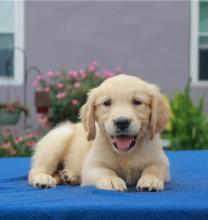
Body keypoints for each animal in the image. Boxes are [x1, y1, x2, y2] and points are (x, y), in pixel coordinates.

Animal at [28, 74, 170, 191]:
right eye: (107, 102)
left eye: (137, 101)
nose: (122, 122)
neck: (125, 154)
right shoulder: (92, 166)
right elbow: (105, 171)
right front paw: (112, 180)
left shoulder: (162, 162)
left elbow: (154, 168)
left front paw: (151, 180)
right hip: (58, 139)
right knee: (35, 171)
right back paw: (44, 179)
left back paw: (69, 176)